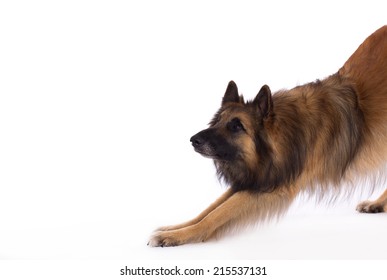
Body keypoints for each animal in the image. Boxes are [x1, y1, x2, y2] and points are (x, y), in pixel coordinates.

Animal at [148, 25, 387, 246]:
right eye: (217, 122)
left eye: (237, 126)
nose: (193, 140)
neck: (283, 132)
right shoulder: (258, 177)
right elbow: (209, 209)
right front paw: (175, 229)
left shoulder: (273, 186)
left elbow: (218, 213)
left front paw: (178, 236)